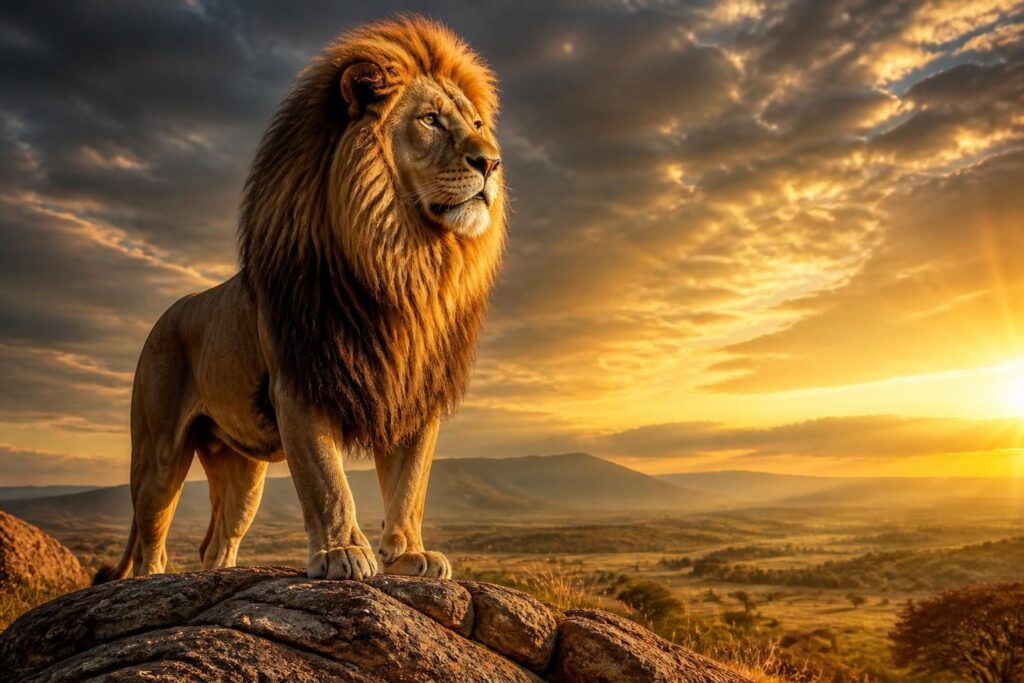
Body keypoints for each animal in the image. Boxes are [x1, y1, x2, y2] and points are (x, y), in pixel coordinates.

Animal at [95, 16, 505, 583]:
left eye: (478, 124)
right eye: (430, 120)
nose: (491, 162)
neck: (405, 261)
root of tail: (167, 314)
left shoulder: (414, 394)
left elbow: (410, 486)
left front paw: (407, 556)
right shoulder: (301, 380)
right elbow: (326, 481)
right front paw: (342, 553)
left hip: (241, 468)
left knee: (217, 541)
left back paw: (222, 574)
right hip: (157, 452)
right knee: (151, 535)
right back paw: (154, 581)